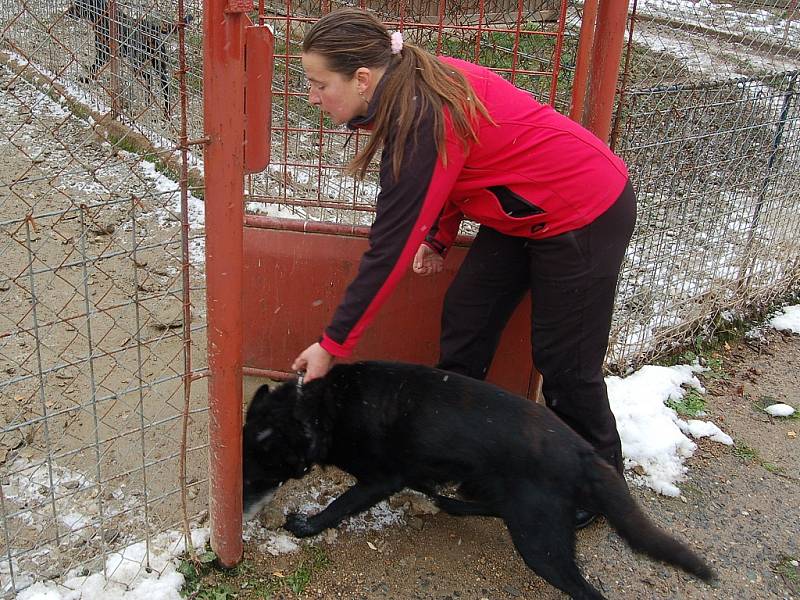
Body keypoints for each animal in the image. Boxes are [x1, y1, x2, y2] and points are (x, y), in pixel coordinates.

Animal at [242, 360, 712, 600]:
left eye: (257, 472)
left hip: (538, 542)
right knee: (492, 506)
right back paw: (449, 503)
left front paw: (306, 526)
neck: (321, 409)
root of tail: (583, 453)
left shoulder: (380, 480)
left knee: (586, 592)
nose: (240, 513)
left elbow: (338, 508)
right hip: (518, 508)